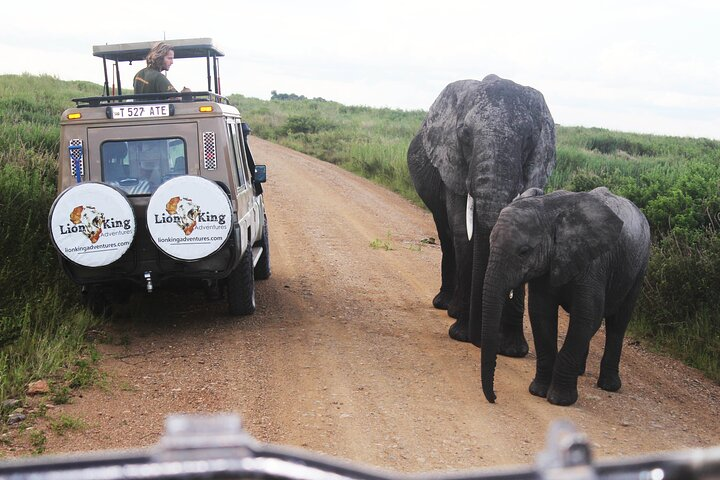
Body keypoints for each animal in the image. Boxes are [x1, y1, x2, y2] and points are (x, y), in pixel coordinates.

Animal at [408, 73, 556, 354]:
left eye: (529, 141)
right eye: (465, 135)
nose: (479, 340)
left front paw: (511, 349)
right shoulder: (452, 165)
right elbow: (462, 233)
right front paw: (461, 334)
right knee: (447, 235)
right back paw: (447, 307)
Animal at [480, 188, 648, 404]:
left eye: (524, 251)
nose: (494, 398)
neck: (549, 208)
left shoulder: (594, 265)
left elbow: (585, 317)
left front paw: (560, 400)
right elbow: (541, 314)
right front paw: (538, 391)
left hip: (639, 267)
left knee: (618, 324)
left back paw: (609, 386)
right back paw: (580, 372)